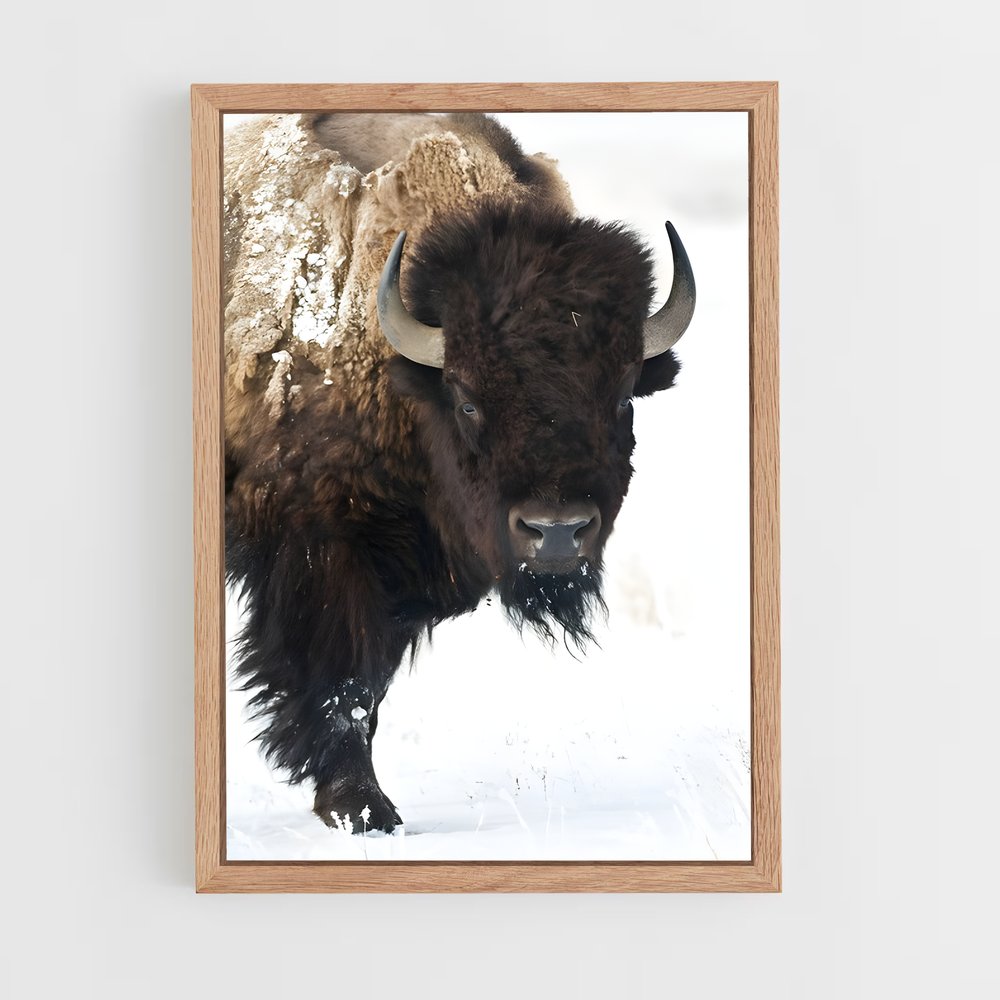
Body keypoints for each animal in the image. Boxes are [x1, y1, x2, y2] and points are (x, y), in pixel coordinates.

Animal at [224, 113, 696, 832]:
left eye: (621, 396)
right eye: (468, 398)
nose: (556, 533)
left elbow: (369, 687)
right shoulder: (319, 549)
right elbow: (342, 683)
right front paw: (362, 809)